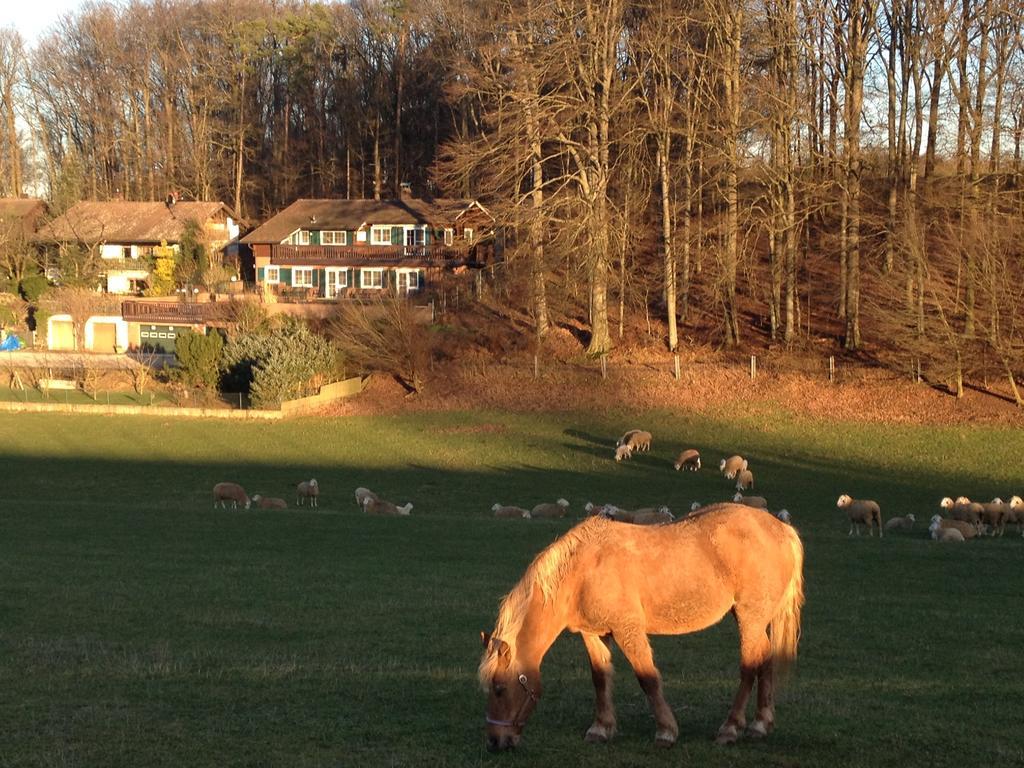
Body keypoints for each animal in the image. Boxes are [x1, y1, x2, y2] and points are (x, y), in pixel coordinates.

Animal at [475, 505, 802, 753]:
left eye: (500, 688)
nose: (494, 741)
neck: (584, 570)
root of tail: (782, 530)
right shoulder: (593, 634)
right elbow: (600, 679)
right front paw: (601, 728)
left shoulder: (627, 630)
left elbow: (647, 679)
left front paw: (666, 732)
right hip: (753, 620)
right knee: (765, 660)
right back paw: (760, 724)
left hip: (750, 618)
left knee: (749, 667)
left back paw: (730, 728)